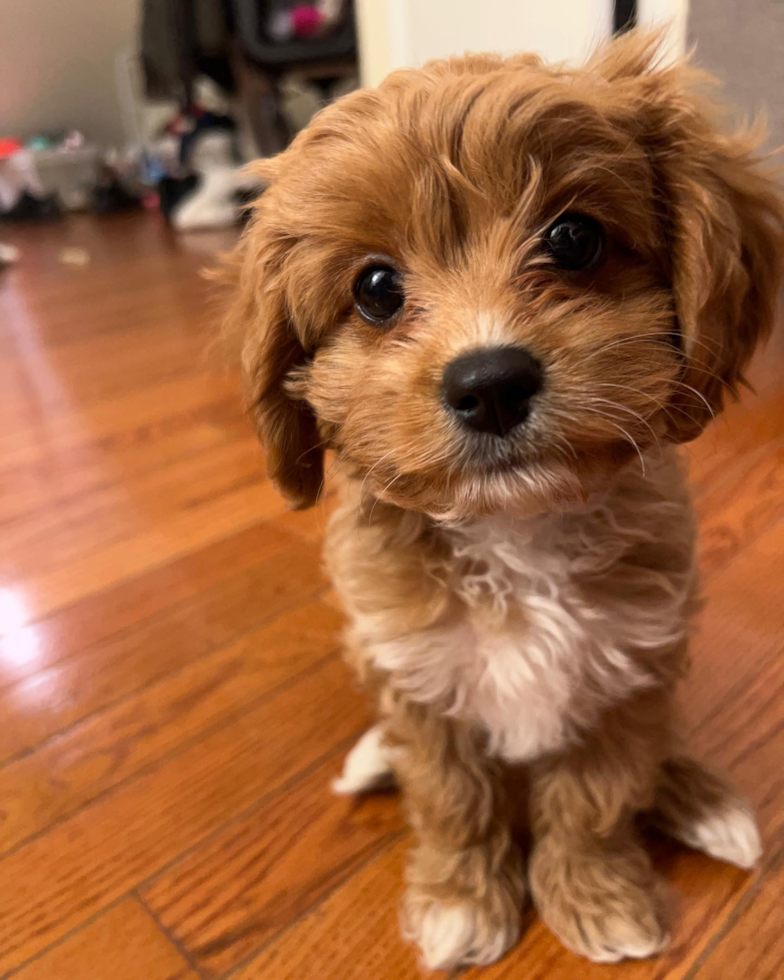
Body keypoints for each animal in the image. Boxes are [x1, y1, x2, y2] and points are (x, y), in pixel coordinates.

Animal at [222, 30, 784, 972]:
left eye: (574, 238)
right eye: (376, 289)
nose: (489, 384)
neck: (515, 531)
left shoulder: (622, 670)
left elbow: (596, 798)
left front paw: (598, 897)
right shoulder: (422, 680)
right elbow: (452, 801)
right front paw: (458, 901)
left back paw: (703, 801)